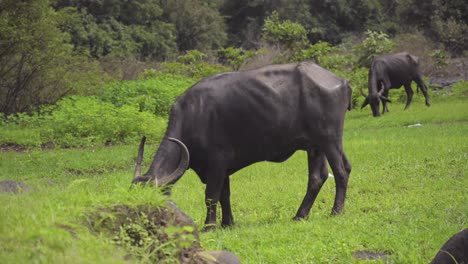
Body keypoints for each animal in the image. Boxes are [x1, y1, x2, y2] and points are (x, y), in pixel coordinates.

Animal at [132, 61, 352, 229]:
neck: (194, 114)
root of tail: (341, 81)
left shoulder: (218, 161)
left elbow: (211, 195)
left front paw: (209, 225)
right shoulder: (222, 167)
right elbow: (224, 195)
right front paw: (227, 223)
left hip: (330, 140)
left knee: (341, 171)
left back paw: (336, 211)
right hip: (315, 146)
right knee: (318, 177)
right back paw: (300, 215)